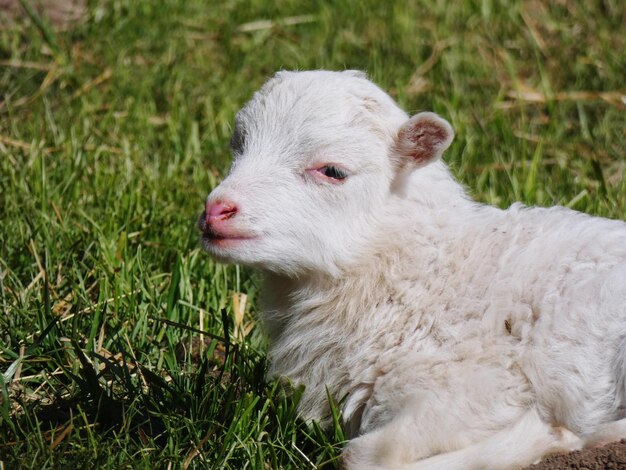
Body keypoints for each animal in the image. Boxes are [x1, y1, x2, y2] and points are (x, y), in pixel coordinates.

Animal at [197, 70, 624, 470]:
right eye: (238, 146)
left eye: (333, 171)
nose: (216, 209)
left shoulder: (476, 387)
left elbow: (363, 455)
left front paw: (544, 439)